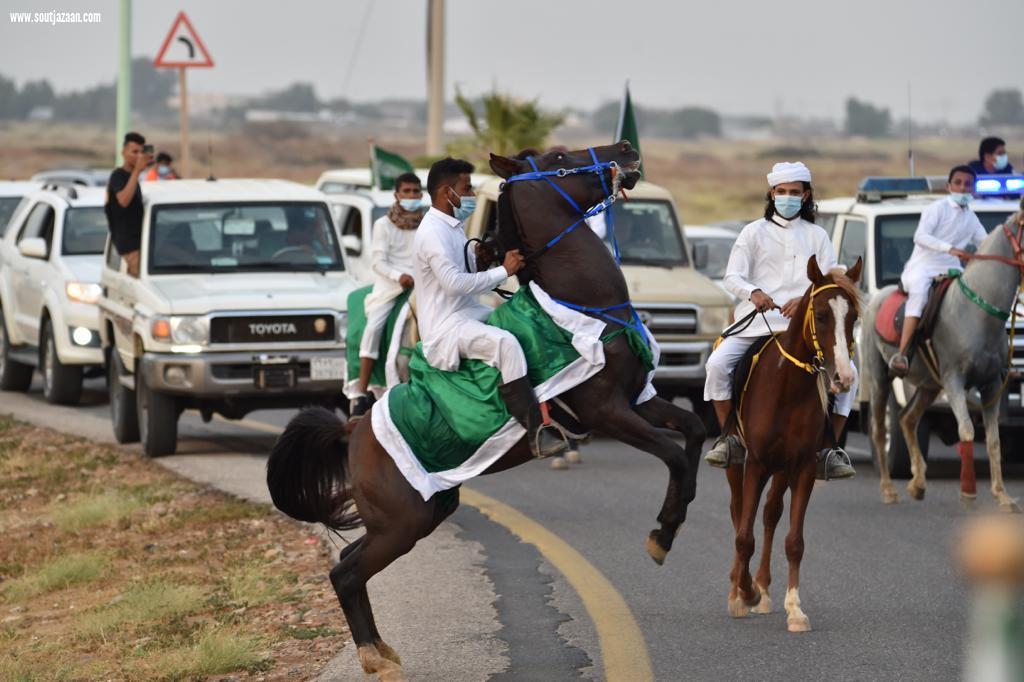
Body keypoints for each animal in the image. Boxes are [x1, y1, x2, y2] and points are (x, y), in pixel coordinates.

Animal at [268, 140, 708, 675]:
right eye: (559, 156)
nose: (625, 149)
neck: (581, 305)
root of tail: (354, 430)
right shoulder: (607, 411)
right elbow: (674, 454)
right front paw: (662, 535)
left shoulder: (639, 401)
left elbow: (693, 431)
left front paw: (673, 522)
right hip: (402, 525)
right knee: (347, 574)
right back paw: (375, 658)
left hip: (415, 516)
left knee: (349, 561)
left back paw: (381, 649)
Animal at [724, 254, 860, 630]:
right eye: (822, 315)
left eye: (854, 317)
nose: (843, 377)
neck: (787, 388)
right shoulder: (755, 463)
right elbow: (744, 535)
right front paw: (743, 594)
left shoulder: (802, 467)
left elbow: (794, 541)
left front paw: (794, 608)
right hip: (740, 463)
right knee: (739, 511)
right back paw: (740, 588)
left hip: (782, 469)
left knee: (771, 514)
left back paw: (763, 589)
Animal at [860, 218, 1019, 509]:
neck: (978, 313)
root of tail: (874, 298)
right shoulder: (954, 381)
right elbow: (966, 430)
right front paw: (968, 491)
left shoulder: (991, 385)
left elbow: (993, 440)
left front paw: (1001, 494)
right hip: (880, 379)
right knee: (879, 430)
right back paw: (889, 489)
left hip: (929, 386)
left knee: (907, 419)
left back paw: (918, 483)